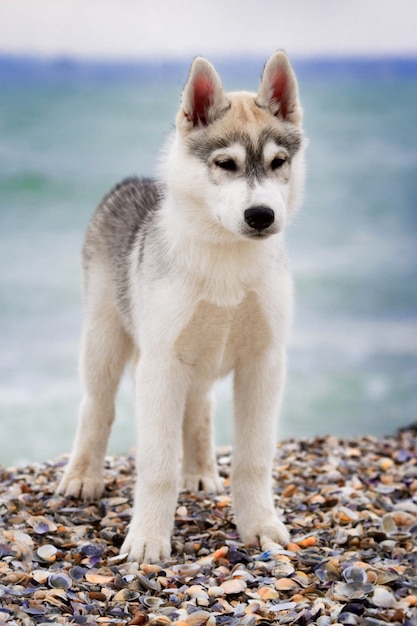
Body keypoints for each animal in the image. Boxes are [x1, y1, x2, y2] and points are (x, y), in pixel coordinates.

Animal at [57, 52, 304, 560]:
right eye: (226, 164)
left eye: (278, 162)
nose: (261, 216)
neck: (226, 259)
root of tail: (131, 183)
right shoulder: (162, 366)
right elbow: (156, 466)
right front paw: (148, 540)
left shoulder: (264, 363)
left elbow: (253, 459)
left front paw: (260, 525)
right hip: (106, 342)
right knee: (97, 407)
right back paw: (83, 476)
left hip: (197, 361)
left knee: (200, 409)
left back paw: (201, 471)